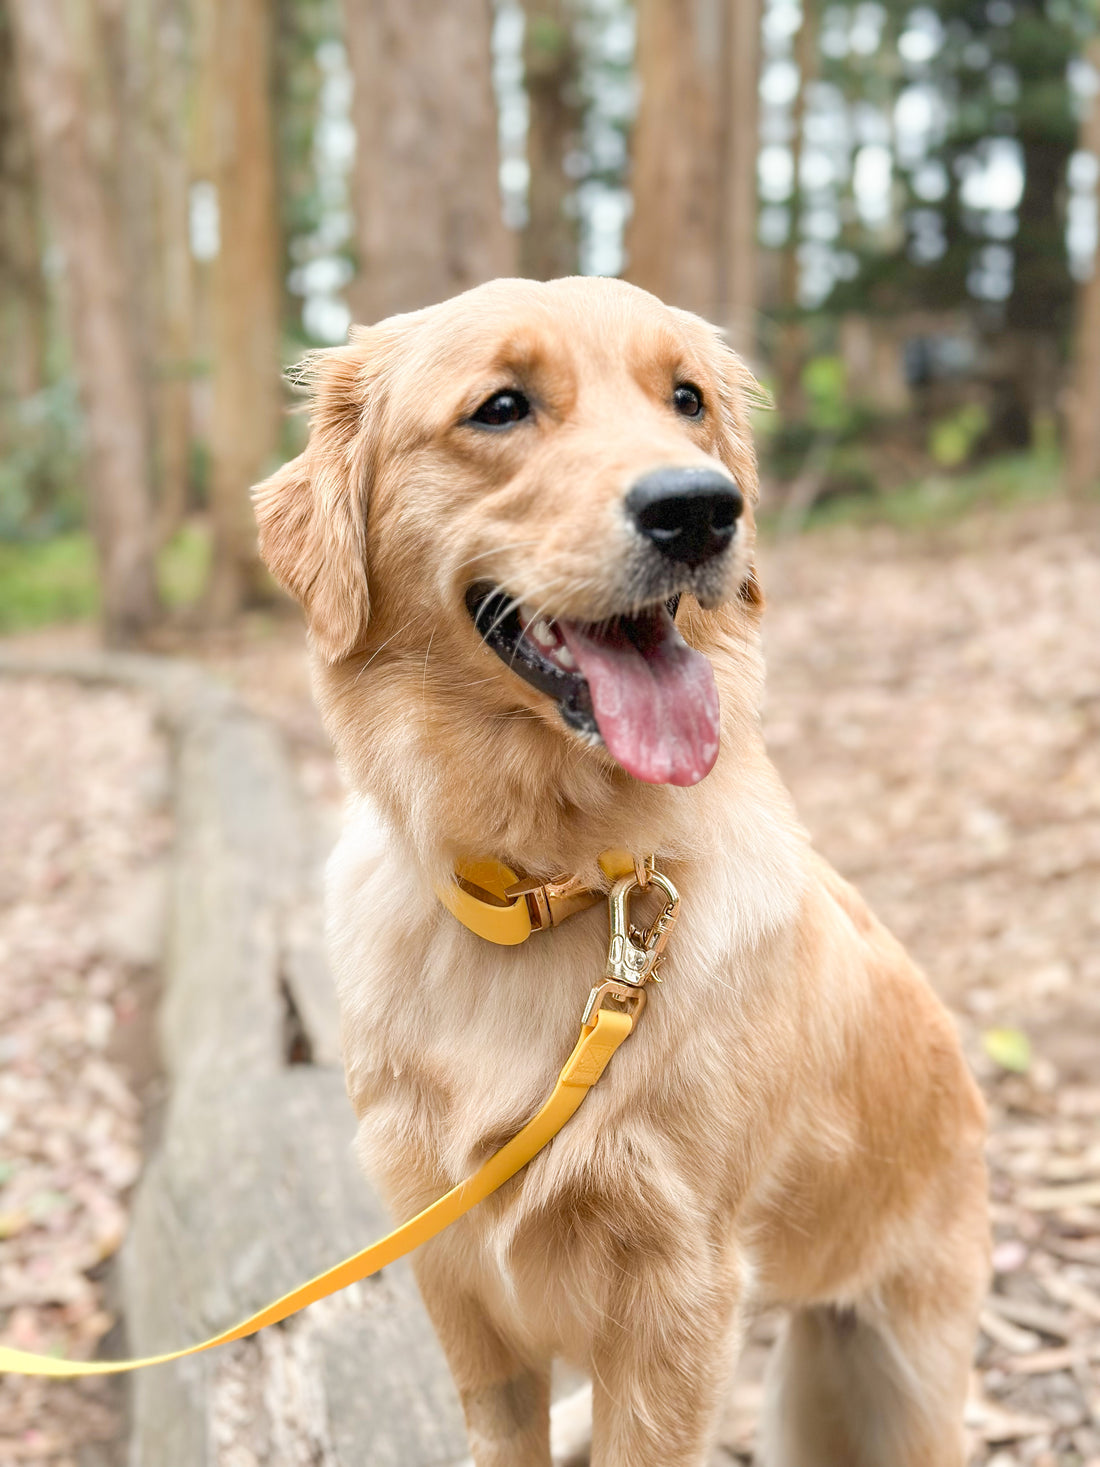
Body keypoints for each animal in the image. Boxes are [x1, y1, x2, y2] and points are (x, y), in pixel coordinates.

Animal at [256, 277, 991, 1467]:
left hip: (881, 1387)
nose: (700, 510)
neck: (544, 887)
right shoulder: (451, 1267)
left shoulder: (676, 1292)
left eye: (686, 399)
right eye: (501, 407)